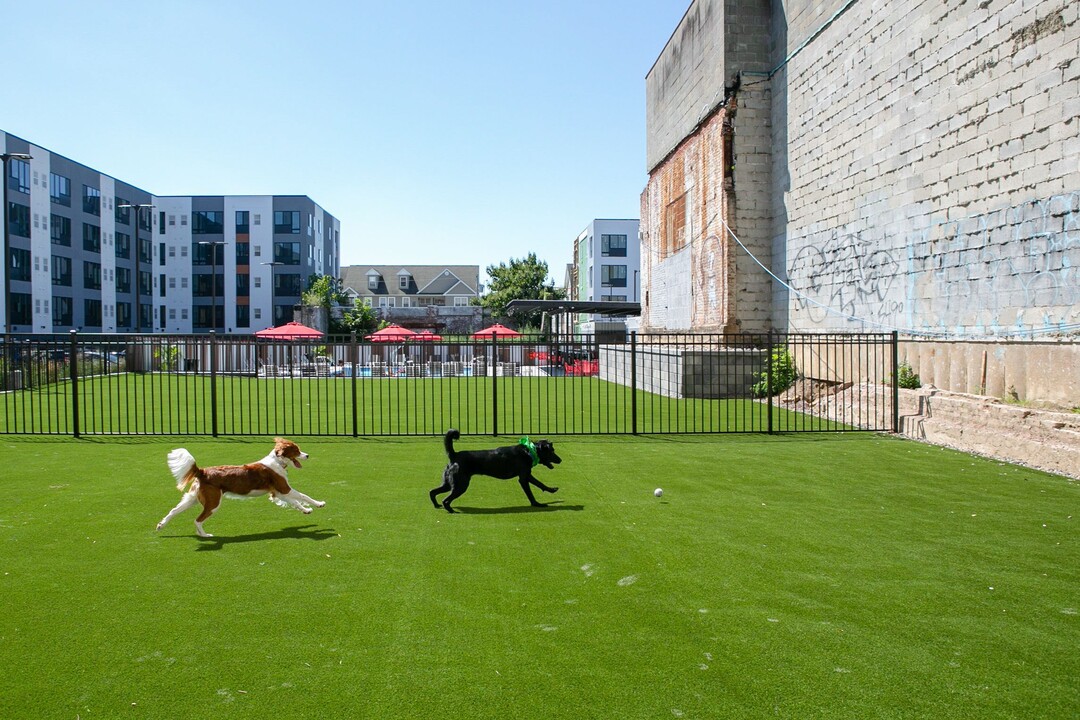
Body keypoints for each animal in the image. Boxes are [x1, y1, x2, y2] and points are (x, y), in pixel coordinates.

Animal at [155, 436, 324, 537]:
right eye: (296, 450)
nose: (307, 455)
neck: (277, 461)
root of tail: (202, 471)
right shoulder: (284, 488)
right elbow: (303, 496)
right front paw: (319, 504)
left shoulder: (279, 492)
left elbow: (295, 502)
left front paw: (306, 510)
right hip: (213, 503)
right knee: (198, 520)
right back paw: (205, 535)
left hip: (192, 499)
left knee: (174, 511)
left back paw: (161, 525)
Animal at [429, 427, 565, 511]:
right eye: (552, 451)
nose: (560, 460)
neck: (529, 451)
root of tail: (454, 455)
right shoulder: (523, 478)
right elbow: (530, 493)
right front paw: (537, 504)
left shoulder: (527, 474)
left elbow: (540, 483)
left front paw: (552, 490)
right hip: (460, 485)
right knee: (446, 500)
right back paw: (451, 510)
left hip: (448, 483)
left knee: (432, 492)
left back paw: (436, 505)